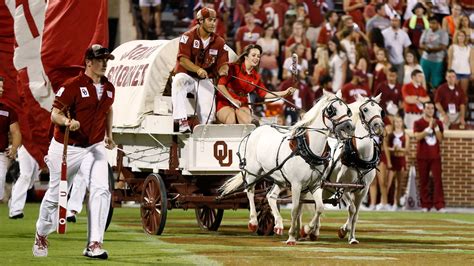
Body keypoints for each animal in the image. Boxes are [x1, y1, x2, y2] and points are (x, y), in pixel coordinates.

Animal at [219, 90, 356, 244]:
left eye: (347, 110)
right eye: (332, 110)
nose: (350, 127)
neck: (307, 149)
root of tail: (256, 130)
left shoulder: (315, 185)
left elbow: (320, 208)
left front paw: (306, 229)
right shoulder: (296, 184)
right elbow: (295, 209)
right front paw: (291, 236)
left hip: (279, 178)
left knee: (270, 196)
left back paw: (278, 225)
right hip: (253, 172)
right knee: (250, 191)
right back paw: (253, 222)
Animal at [304, 94, 386, 244]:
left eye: (380, 110)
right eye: (365, 109)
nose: (379, 126)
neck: (359, 156)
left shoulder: (363, 190)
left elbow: (356, 214)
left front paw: (352, 238)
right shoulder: (343, 186)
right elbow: (352, 209)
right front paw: (343, 230)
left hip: (325, 189)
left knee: (316, 204)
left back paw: (314, 232)